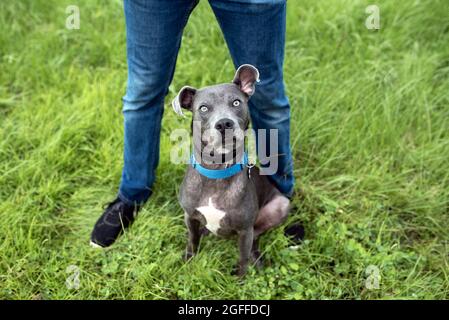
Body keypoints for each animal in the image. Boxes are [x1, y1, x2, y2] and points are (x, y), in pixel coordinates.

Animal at [172, 63, 290, 276]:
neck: (217, 168)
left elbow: (242, 258)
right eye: (203, 108)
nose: (224, 123)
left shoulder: (244, 230)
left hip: (281, 204)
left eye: (236, 103)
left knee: (256, 236)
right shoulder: (189, 217)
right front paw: (188, 260)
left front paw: (240, 279)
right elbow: (192, 240)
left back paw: (256, 258)